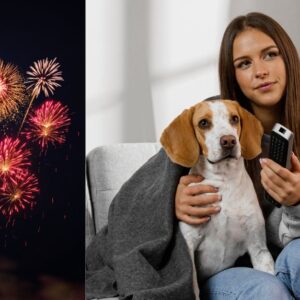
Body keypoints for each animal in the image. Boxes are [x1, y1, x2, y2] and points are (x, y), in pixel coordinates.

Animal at [161, 99, 276, 300]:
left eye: (235, 119)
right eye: (203, 123)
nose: (229, 140)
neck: (224, 182)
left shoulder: (258, 247)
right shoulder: (189, 246)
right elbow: (194, 289)